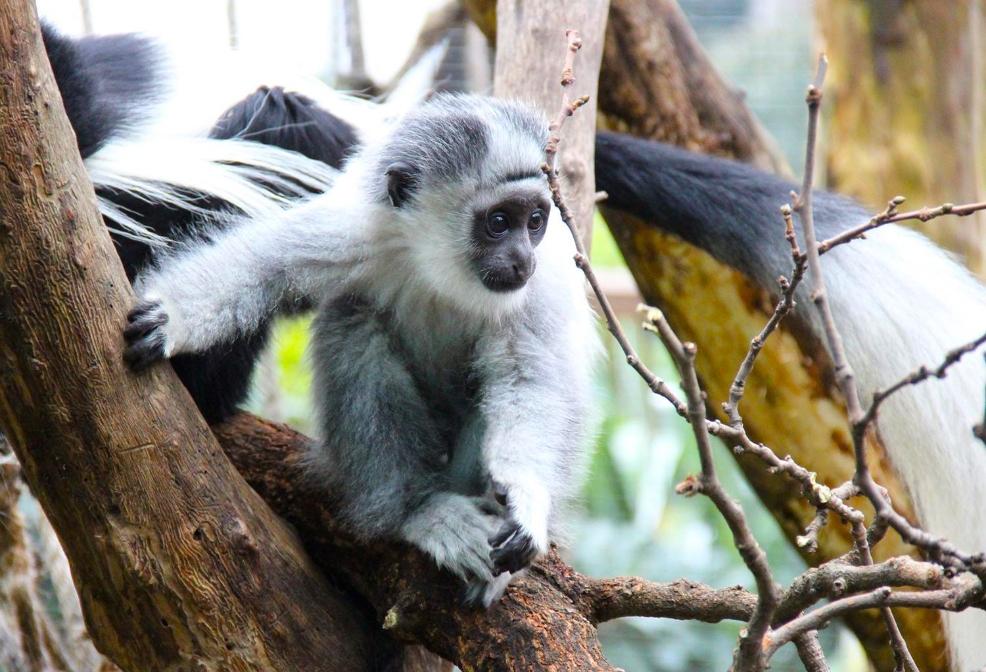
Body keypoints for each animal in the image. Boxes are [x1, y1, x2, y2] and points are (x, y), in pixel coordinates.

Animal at [122, 94, 598, 603]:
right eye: (499, 222)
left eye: (535, 222)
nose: (522, 258)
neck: (444, 271)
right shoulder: (356, 231)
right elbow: (262, 267)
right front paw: (172, 319)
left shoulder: (538, 289)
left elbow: (528, 381)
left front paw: (525, 502)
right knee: (356, 323)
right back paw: (420, 509)